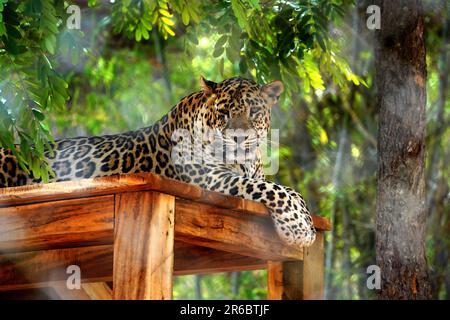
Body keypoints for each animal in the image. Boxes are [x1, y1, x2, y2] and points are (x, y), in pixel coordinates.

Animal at [0, 77, 316, 248]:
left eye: (254, 112)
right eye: (224, 113)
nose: (239, 138)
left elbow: (281, 188)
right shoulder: (209, 176)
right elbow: (279, 190)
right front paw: (300, 229)